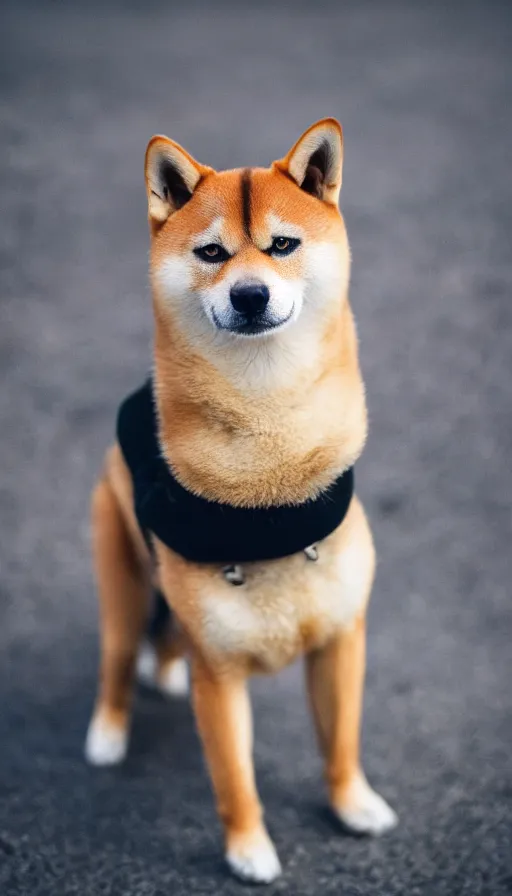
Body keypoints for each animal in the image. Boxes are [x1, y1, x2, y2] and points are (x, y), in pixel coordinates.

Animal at [85, 117, 396, 880]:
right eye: (211, 253)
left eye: (283, 245)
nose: (250, 295)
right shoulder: (220, 677)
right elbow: (234, 780)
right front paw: (249, 849)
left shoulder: (342, 642)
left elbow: (341, 743)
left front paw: (353, 804)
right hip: (121, 581)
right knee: (116, 658)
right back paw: (107, 731)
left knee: (163, 642)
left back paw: (164, 671)